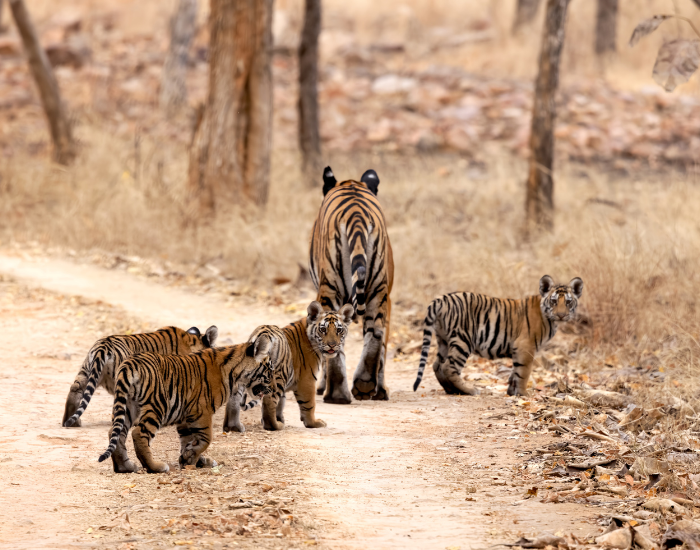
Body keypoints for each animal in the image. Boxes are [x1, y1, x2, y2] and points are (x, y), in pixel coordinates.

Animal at [97, 331, 277, 474]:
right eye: (269, 368)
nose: (273, 388)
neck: (235, 373)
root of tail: (130, 363)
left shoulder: (185, 417)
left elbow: (188, 440)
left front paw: (191, 459)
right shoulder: (202, 411)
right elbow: (206, 438)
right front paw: (191, 459)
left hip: (128, 406)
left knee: (115, 432)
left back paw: (125, 467)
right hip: (157, 406)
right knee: (138, 434)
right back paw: (155, 467)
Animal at [223, 301, 354, 432]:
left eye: (339, 330)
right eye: (323, 329)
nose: (332, 345)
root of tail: (264, 333)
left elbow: (282, 402)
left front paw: (280, 418)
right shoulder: (307, 380)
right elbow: (309, 403)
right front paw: (313, 423)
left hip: (242, 377)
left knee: (233, 401)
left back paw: (233, 427)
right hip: (277, 376)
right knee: (269, 401)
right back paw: (275, 426)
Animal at [309, 166, 394, 403]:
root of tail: (356, 215)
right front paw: (380, 391)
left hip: (329, 288)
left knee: (332, 338)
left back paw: (336, 394)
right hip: (378, 289)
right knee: (376, 333)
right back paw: (364, 385)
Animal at [413, 275, 583, 397]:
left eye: (568, 302)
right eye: (554, 301)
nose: (561, 315)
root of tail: (441, 299)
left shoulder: (518, 350)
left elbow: (515, 372)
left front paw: (511, 392)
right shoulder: (526, 347)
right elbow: (524, 372)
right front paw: (523, 394)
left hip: (444, 340)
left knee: (437, 365)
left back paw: (452, 390)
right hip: (463, 340)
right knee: (449, 367)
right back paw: (469, 390)